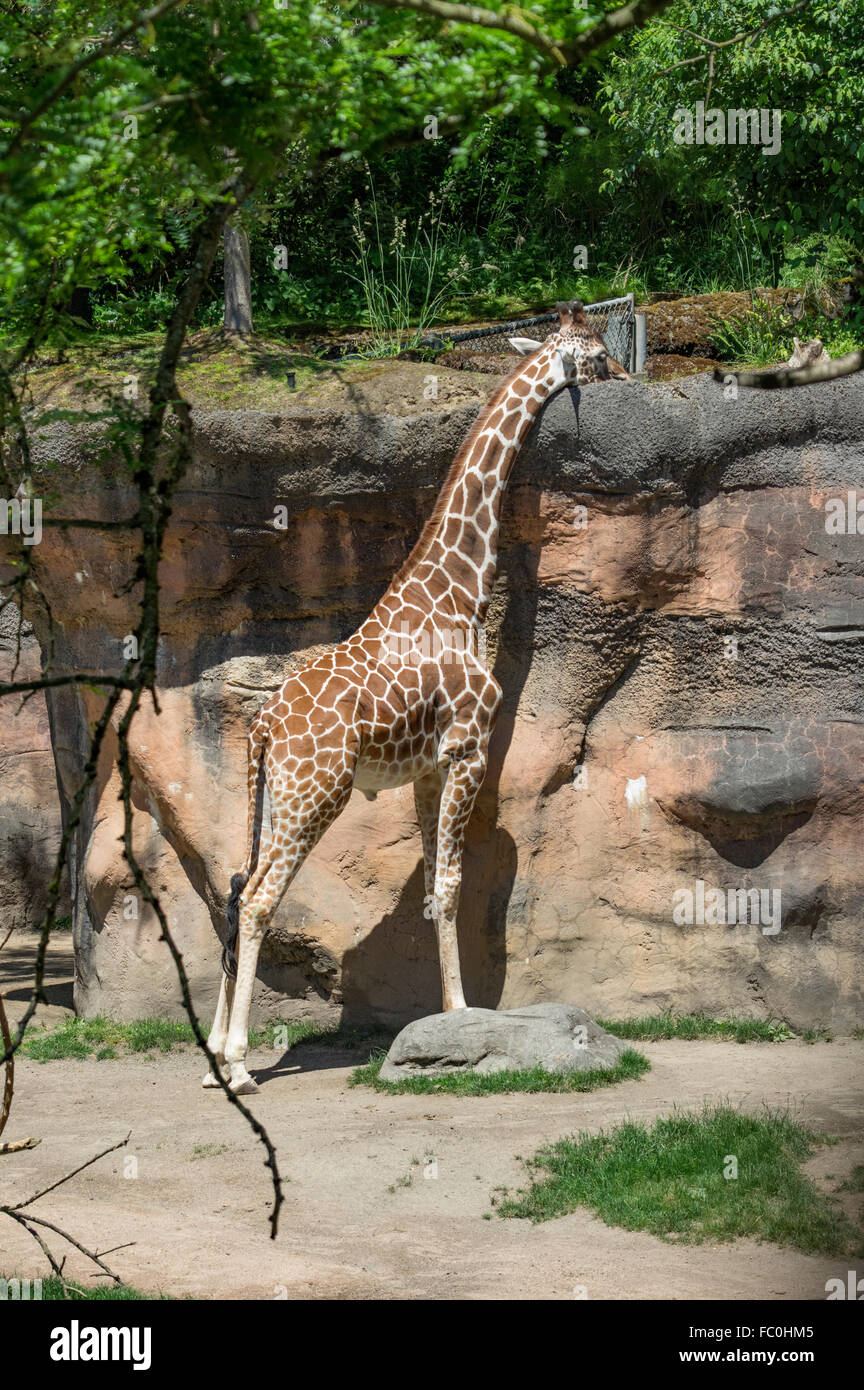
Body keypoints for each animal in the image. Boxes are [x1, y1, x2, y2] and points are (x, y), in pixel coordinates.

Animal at [205, 300, 630, 1092]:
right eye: (592, 351)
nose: (624, 376)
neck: (459, 593)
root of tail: (263, 726)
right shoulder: (468, 749)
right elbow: (456, 885)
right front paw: (464, 1014)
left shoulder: (427, 770)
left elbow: (434, 889)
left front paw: (445, 1017)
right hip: (318, 791)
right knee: (260, 898)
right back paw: (241, 1063)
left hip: (271, 792)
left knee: (237, 883)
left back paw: (214, 1050)